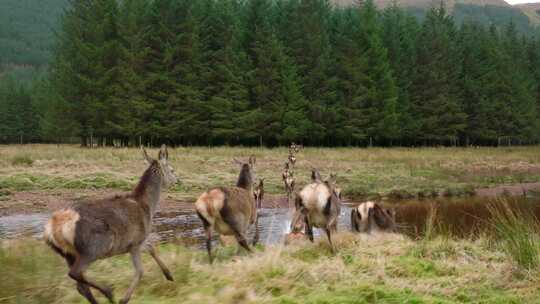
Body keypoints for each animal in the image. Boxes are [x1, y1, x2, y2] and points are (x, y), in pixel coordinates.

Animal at [44, 145, 178, 304]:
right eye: (172, 169)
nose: (178, 180)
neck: (148, 206)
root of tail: (53, 228)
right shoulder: (135, 242)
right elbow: (140, 271)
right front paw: (124, 299)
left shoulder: (135, 241)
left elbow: (151, 248)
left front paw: (169, 275)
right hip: (92, 248)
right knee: (76, 273)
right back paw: (108, 291)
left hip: (67, 254)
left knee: (81, 287)